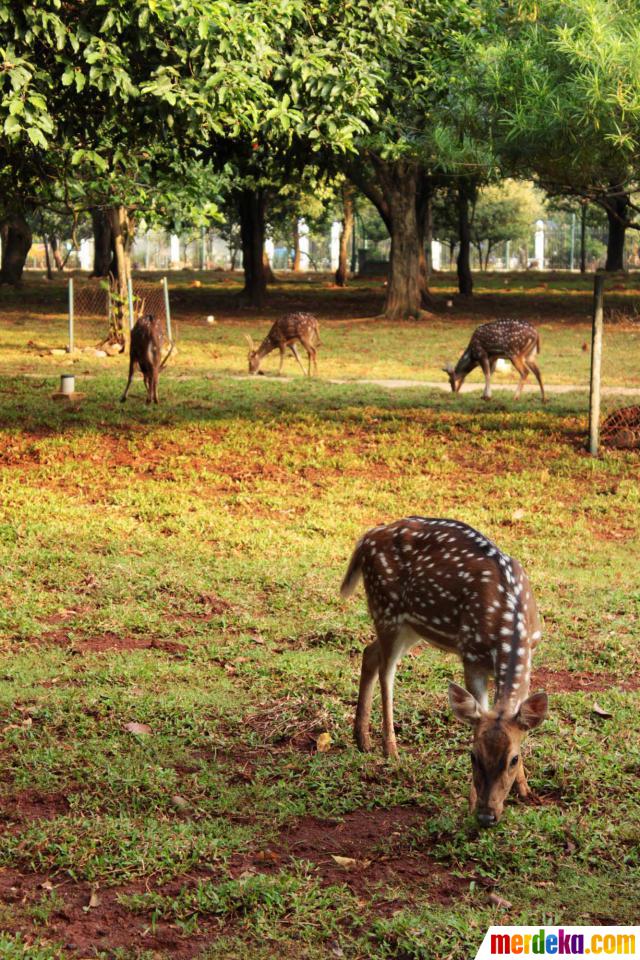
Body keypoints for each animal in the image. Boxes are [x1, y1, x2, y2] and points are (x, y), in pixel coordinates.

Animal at [342, 516, 548, 824]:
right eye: (472, 756)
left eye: (513, 759)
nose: (487, 816)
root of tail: (365, 538)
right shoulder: (470, 654)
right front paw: (471, 803)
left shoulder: (531, 648)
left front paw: (524, 789)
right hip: (386, 609)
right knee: (386, 672)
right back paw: (390, 749)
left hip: (411, 626)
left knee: (369, 653)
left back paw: (362, 740)